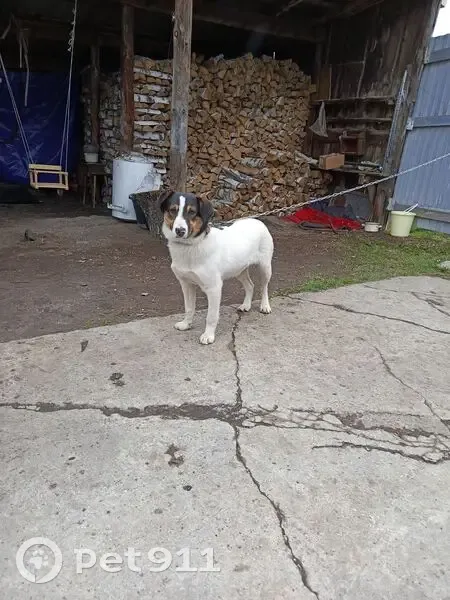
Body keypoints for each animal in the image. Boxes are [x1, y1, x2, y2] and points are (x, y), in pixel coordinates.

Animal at [160, 191, 274, 345]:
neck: (191, 246)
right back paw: (246, 305)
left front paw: (208, 335)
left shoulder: (214, 288)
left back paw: (265, 306)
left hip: (265, 267)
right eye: (173, 210)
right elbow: (189, 308)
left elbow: (211, 316)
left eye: (192, 212)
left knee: (264, 287)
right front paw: (186, 324)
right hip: (239, 269)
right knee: (250, 285)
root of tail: (257, 221)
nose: (180, 230)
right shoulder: (186, 284)